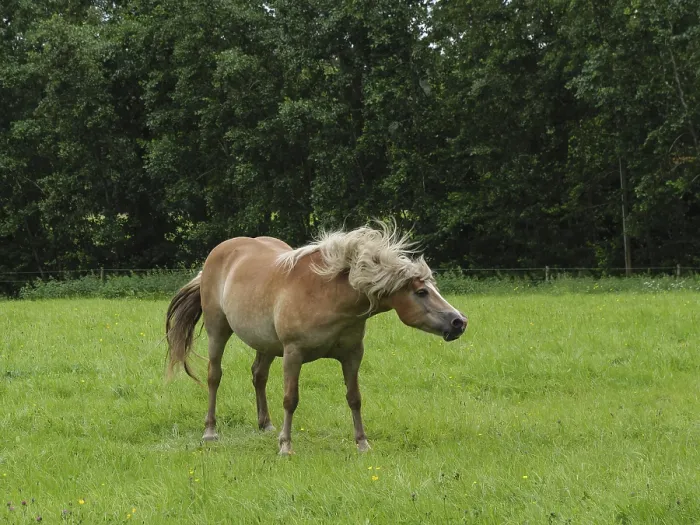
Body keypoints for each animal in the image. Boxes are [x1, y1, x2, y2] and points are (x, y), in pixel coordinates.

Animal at [165, 222, 468, 454]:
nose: (459, 322)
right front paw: (286, 446)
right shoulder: (293, 354)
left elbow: (354, 398)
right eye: (421, 292)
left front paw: (362, 444)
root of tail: (219, 253)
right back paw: (210, 431)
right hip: (218, 330)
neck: (329, 294)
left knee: (258, 376)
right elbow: (290, 399)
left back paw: (266, 425)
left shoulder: (352, 355)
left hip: (266, 344)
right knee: (214, 376)